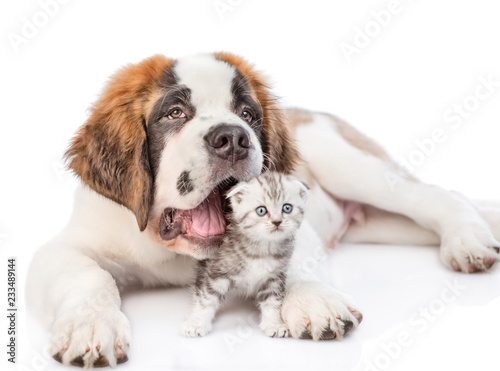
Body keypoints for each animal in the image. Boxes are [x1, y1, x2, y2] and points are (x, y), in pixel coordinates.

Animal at [183, 173, 308, 338]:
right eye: (261, 211)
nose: (277, 222)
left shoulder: (274, 277)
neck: (261, 249)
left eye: (287, 208)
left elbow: (272, 301)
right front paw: (197, 323)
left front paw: (274, 324)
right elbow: (207, 298)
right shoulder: (216, 271)